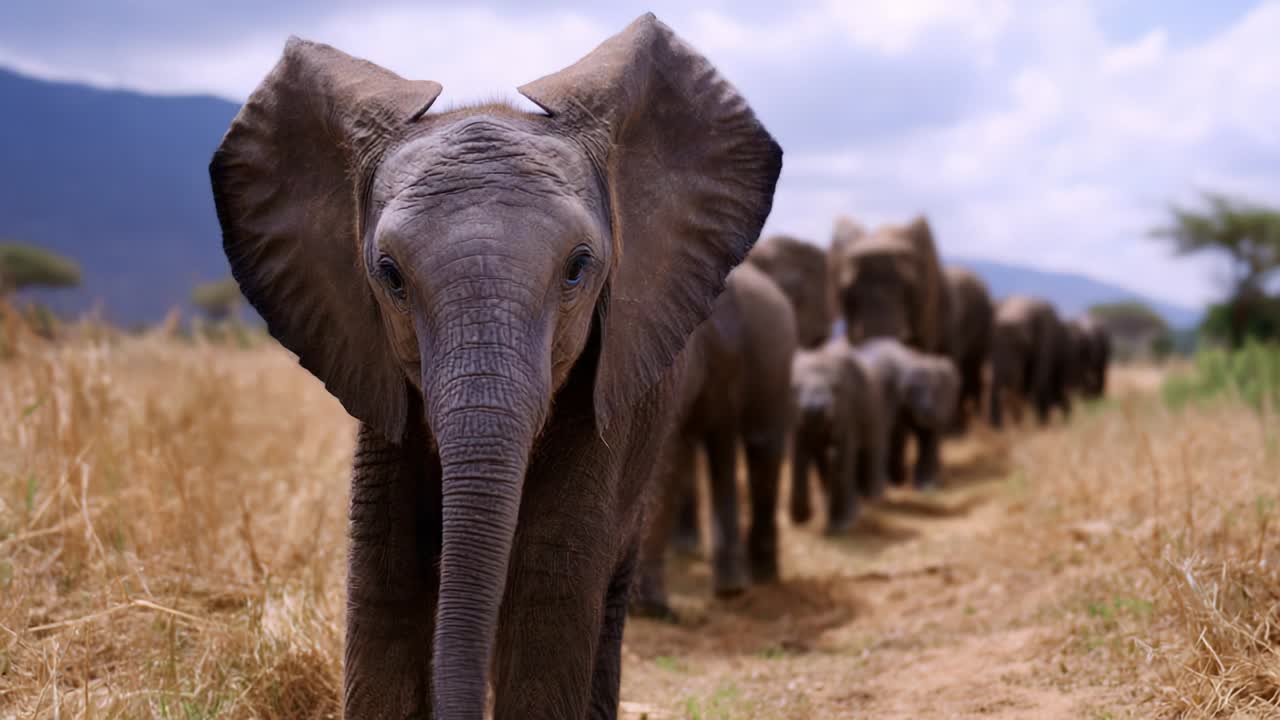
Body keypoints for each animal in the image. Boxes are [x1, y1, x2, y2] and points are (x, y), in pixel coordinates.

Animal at [634, 262, 797, 616]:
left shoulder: (725, 356)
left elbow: (708, 445)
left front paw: (730, 591)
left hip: (777, 369)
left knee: (762, 448)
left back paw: (762, 577)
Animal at [788, 340, 886, 534]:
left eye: (836, 388)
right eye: (794, 388)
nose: (814, 410)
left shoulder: (848, 410)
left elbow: (844, 454)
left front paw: (841, 524)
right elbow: (799, 452)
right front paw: (802, 518)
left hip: (875, 406)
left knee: (869, 451)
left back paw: (871, 500)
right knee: (825, 462)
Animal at [990, 296, 1071, 428]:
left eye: (1023, 344)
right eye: (991, 344)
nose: (998, 427)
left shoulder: (1046, 338)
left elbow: (1039, 377)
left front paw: (1039, 425)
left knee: (1056, 386)